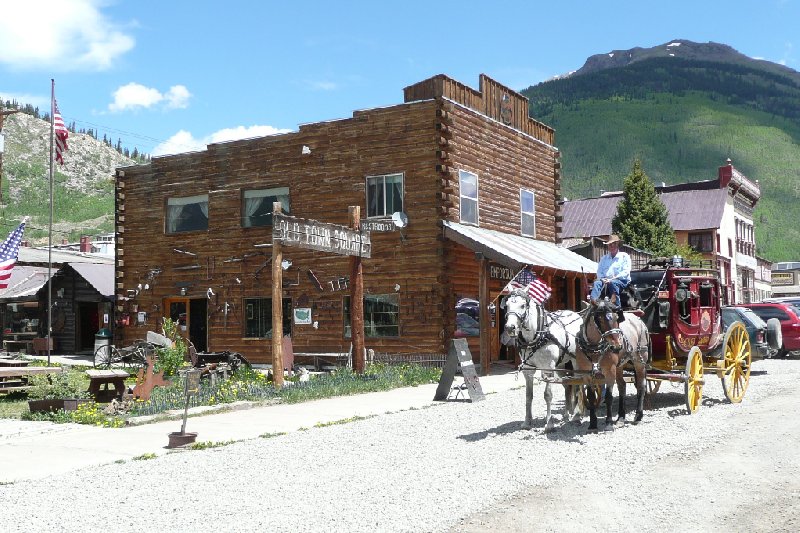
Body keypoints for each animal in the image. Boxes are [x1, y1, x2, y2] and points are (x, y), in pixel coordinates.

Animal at [504, 288, 584, 430]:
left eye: (522, 305)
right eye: (507, 305)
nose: (510, 327)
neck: (537, 334)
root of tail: (576, 315)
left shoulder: (548, 368)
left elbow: (548, 395)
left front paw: (549, 423)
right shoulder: (528, 369)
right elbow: (528, 395)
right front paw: (527, 421)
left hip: (575, 361)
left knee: (578, 384)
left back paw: (577, 416)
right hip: (561, 365)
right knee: (567, 385)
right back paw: (567, 414)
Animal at [580, 298, 652, 430]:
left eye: (616, 318)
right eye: (600, 319)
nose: (617, 346)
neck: (594, 348)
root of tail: (639, 321)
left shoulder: (609, 370)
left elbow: (609, 396)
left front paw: (608, 422)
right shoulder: (586, 374)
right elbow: (591, 397)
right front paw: (592, 424)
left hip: (639, 361)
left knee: (641, 386)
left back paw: (638, 416)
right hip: (619, 365)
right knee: (622, 386)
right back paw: (621, 417)